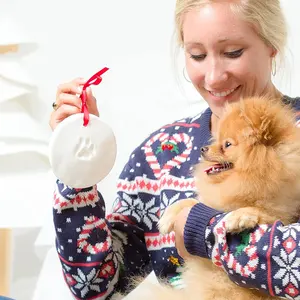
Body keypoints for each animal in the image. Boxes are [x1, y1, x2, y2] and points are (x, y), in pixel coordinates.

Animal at [118, 96, 300, 300]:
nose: (203, 149)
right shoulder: (213, 201)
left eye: (227, 144)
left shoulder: (283, 212)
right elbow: (189, 202)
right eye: (217, 140)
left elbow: (261, 210)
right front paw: (167, 218)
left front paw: (238, 216)